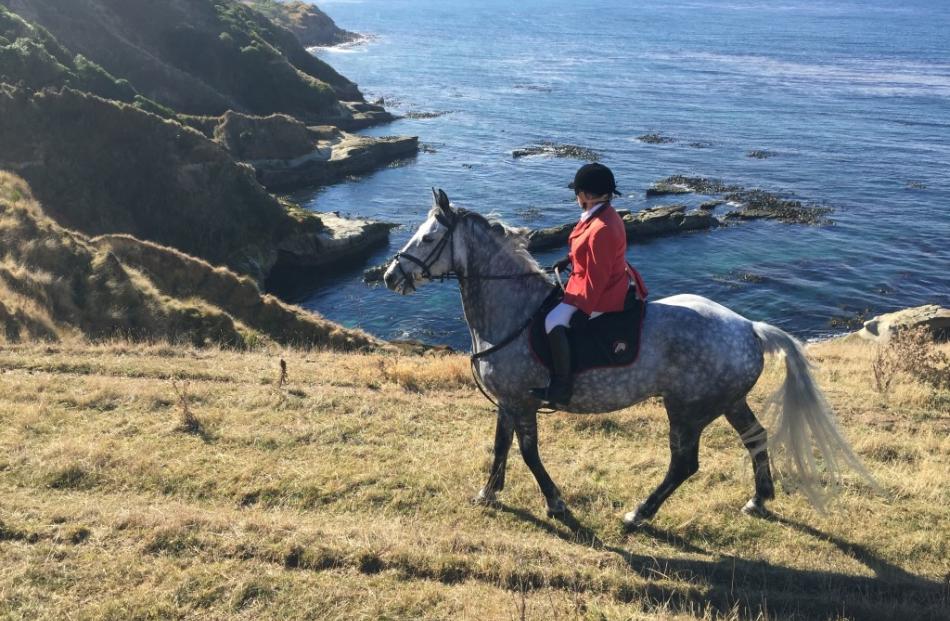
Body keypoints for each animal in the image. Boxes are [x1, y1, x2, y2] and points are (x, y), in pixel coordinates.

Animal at [384, 190, 872, 528]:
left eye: (429, 237)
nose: (390, 276)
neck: (514, 311)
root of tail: (749, 328)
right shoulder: (508, 401)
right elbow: (501, 446)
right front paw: (488, 493)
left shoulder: (522, 401)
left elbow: (527, 452)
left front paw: (556, 503)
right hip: (728, 401)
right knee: (755, 438)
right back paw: (758, 499)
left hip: (687, 409)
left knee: (684, 464)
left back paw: (639, 514)